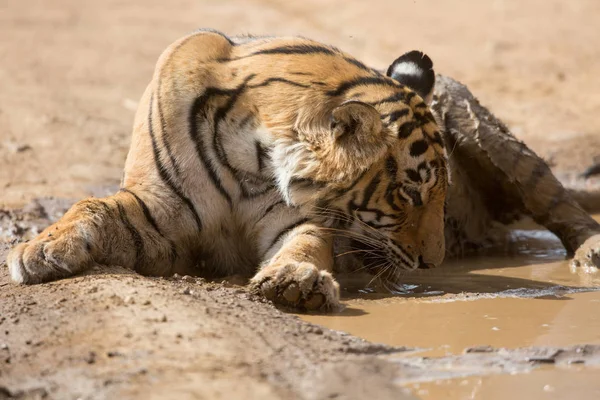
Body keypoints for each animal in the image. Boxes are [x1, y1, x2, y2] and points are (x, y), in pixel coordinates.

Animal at [5, 29, 600, 310]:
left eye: (441, 196)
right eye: (409, 196)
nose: (434, 263)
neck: (250, 153)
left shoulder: (298, 218)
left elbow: (306, 246)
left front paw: (296, 281)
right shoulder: (160, 210)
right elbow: (92, 204)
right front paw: (38, 249)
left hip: (498, 145)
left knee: (563, 206)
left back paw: (590, 254)